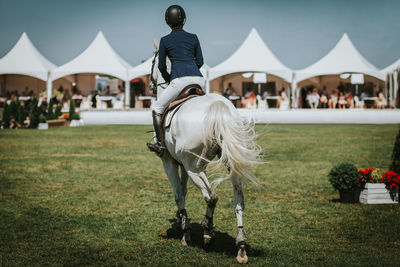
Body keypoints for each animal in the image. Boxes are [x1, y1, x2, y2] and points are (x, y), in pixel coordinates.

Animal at [148, 49, 260, 264]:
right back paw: (241, 246)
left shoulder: (170, 162)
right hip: (229, 165)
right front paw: (181, 222)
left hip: (194, 167)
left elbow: (178, 193)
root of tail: (219, 108)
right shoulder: (182, 164)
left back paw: (208, 230)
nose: (150, 84)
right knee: (238, 201)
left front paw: (185, 232)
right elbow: (183, 191)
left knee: (211, 196)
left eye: (152, 63)